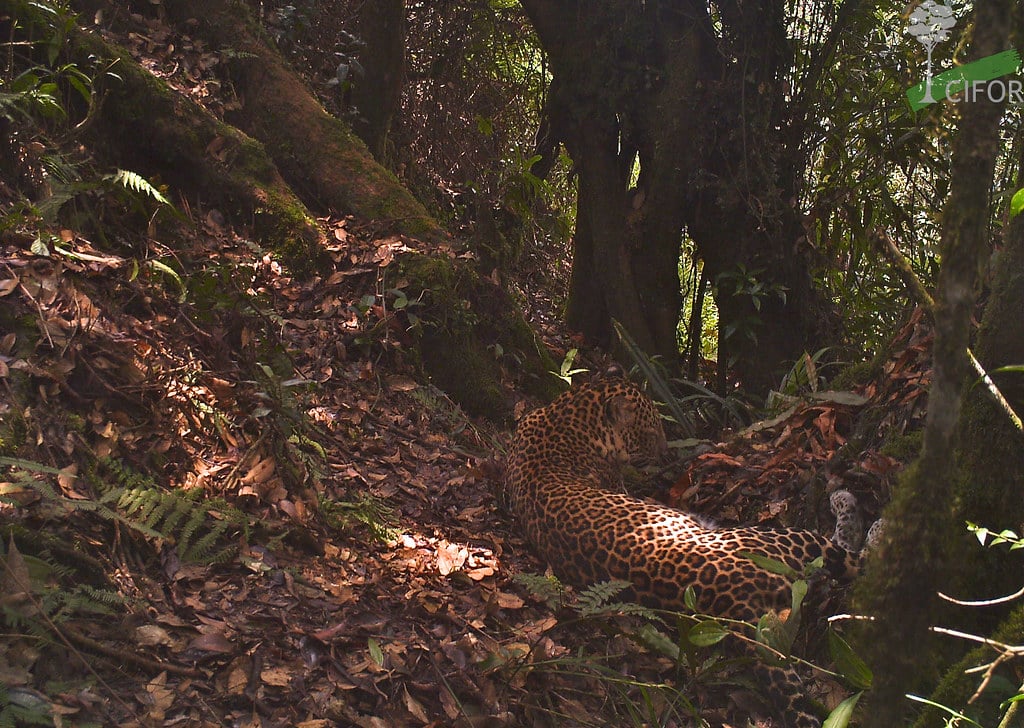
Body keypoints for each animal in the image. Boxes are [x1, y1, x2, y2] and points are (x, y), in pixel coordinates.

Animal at [502, 378, 861, 728]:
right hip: (788, 538)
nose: (664, 454)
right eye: (649, 432)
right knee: (849, 557)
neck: (566, 414)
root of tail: (733, 604)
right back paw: (849, 506)